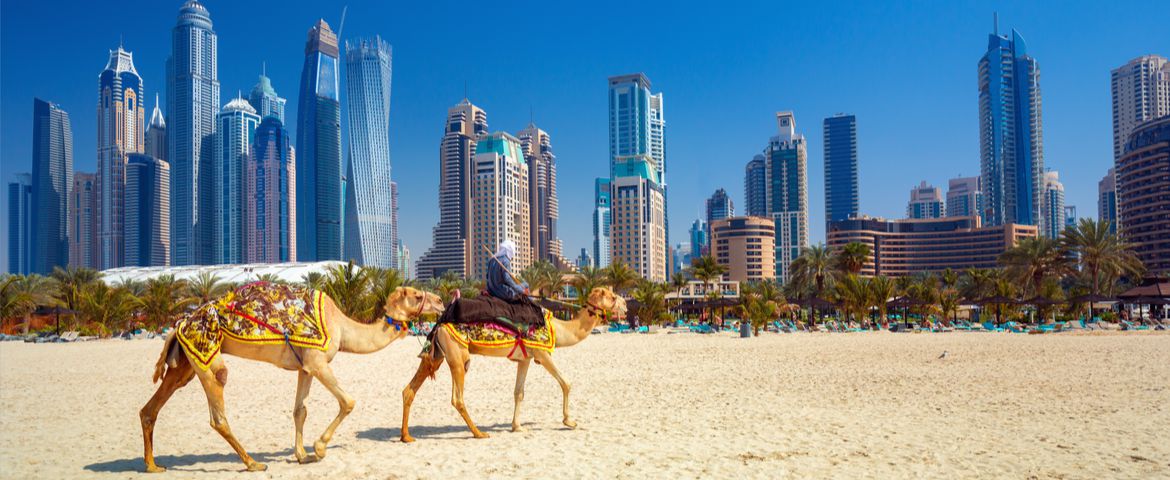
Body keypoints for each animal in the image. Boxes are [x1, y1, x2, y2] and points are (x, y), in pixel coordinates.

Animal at [136, 284, 444, 472]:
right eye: (417, 296)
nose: (441, 301)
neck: (341, 327)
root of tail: (178, 325)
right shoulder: (318, 362)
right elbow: (348, 402)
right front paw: (319, 449)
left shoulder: (304, 367)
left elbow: (300, 410)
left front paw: (302, 455)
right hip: (206, 354)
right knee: (218, 410)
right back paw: (253, 463)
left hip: (186, 363)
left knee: (150, 408)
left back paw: (152, 465)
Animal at [400, 284, 627, 442]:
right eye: (612, 296)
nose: (625, 305)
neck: (560, 329)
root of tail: (439, 323)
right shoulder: (542, 353)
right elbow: (566, 383)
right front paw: (569, 421)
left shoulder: (525, 359)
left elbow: (519, 392)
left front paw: (517, 426)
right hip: (457, 356)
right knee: (457, 398)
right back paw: (479, 433)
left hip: (436, 356)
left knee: (409, 390)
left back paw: (406, 437)